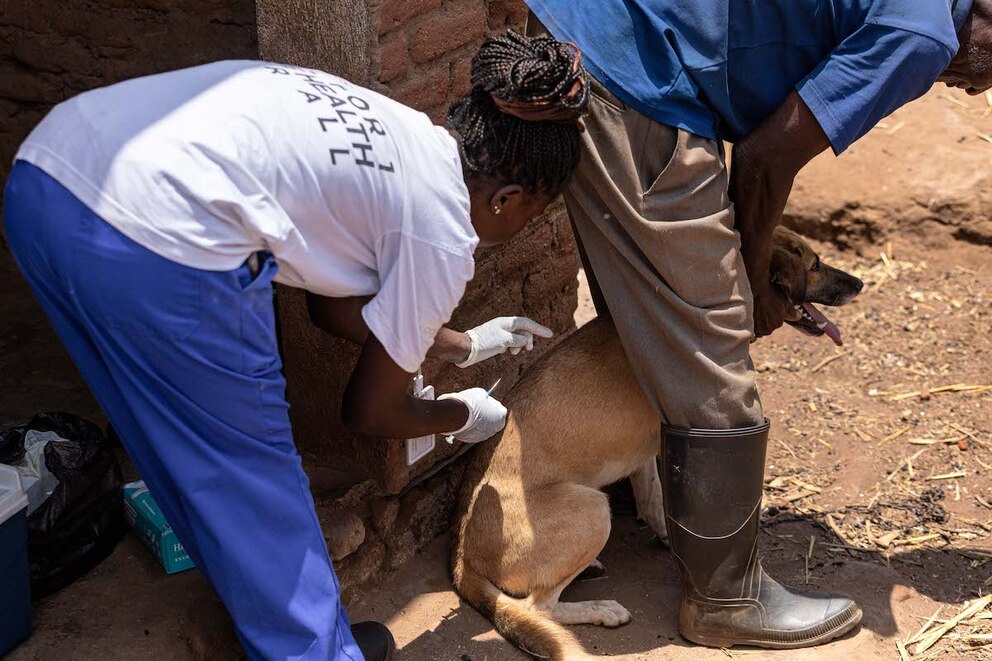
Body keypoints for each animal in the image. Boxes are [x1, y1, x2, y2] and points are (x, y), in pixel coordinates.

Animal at [450, 227, 860, 660]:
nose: (859, 284)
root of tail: (461, 557)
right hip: (593, 510)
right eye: (815, 264)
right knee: (538, 607)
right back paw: (601, 609)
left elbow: (653, 498)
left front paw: (667, 535)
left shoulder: (648, 449)